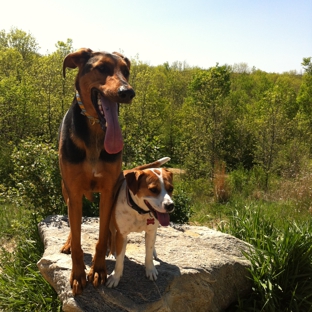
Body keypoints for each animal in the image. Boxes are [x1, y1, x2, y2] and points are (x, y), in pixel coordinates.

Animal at [59, 47, 135, 294]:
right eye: (101, 68)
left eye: (126, 71)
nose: (128, 92)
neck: (94, 129)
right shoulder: (73, 193)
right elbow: (77, 239)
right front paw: (77, 273)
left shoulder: (109, 191)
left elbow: (102, 236)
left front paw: (99, 270)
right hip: (65, 189)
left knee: (110, 228)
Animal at [107, 157, 174, 288]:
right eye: (153, 189)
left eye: (171, 189)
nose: (170, 206)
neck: (139, 211)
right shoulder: (121, 235)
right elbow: (119, 261)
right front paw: (115, 277)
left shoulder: (151, 230)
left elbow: (148, 253)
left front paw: (150, 269)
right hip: (111, 224)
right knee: (112, 236)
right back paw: (112, 252)